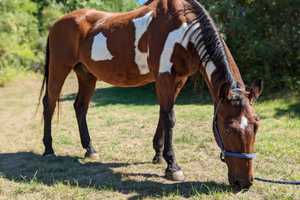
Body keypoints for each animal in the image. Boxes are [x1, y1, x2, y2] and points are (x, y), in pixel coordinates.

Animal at [39, 0, 262, 191]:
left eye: (256, 126)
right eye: (228, 129)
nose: (244, 182)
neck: (183, 31)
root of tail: (56, 24)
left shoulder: (179, 80)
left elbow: (163, 115)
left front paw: (158, 156)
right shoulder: (165, 77)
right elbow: (169, 117)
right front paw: (173, 167)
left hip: (87, 74)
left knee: (80, 107)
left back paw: (90, 149)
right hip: (60, 68)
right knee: (49, 103)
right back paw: (49, 149)